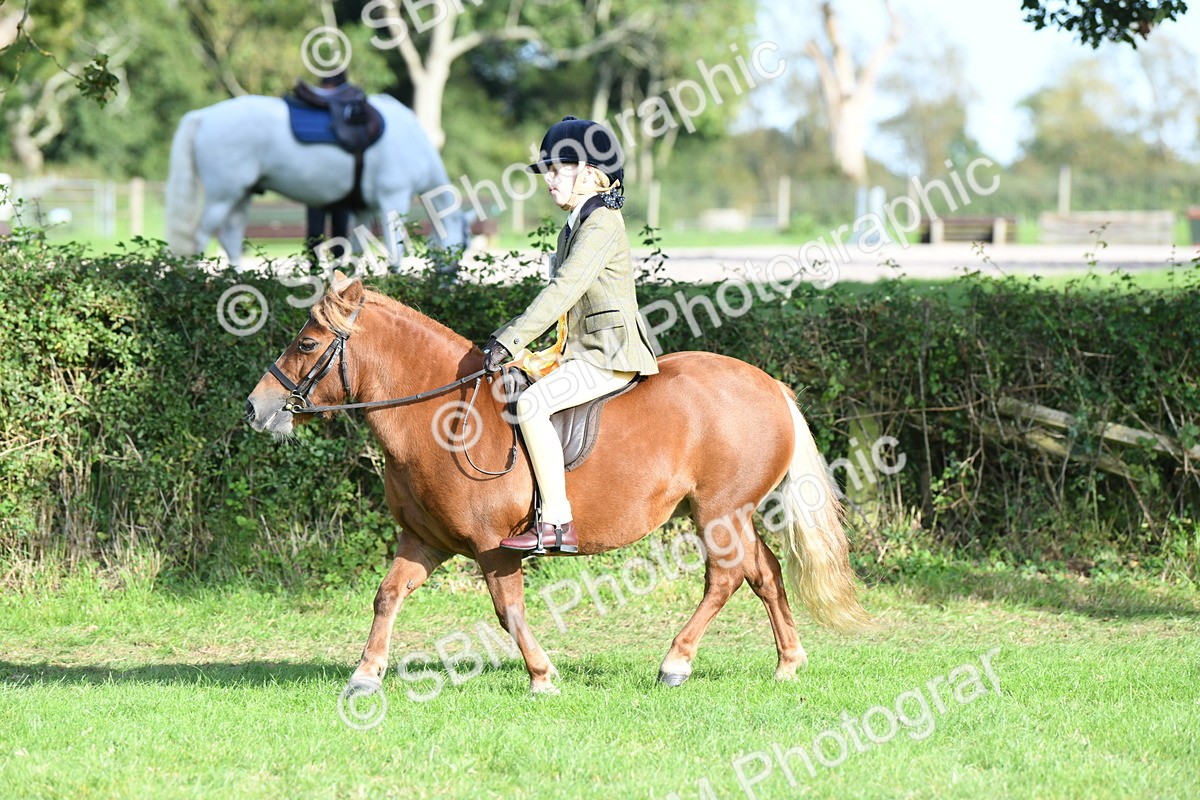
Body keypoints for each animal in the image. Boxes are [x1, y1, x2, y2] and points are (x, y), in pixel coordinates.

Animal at [165, 94, 470, 270]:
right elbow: (396, 252)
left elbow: (357, 252)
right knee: (198, 240)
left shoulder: (362, 208)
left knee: (229, 240)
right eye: (462, 246)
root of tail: (203, 116)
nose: (451, 284)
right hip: (222, 196)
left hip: (241, 195)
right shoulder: (393, 198)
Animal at [244, 273, 872, 696]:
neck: (444, 416)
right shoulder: (424, 542)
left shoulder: (494, 547)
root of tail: (772, 386)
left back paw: (676, 662)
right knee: (764, 572)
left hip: (717, 510)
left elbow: (509, 612)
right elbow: (388, 595)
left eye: (306, 344)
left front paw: (542, 676)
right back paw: (788, 662)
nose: (255, 407)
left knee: (727, 576)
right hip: (731, 513)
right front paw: (365, 676)